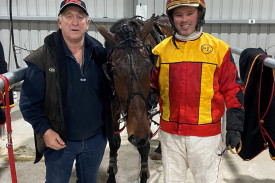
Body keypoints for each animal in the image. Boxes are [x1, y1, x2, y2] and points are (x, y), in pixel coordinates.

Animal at [95, 13, 171, 182]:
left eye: (150, 66)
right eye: (113, 70)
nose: (138, 136)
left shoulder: (146, 110)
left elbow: (144, 146)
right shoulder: (112, 107)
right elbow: (114, 141)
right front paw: (111, 173)